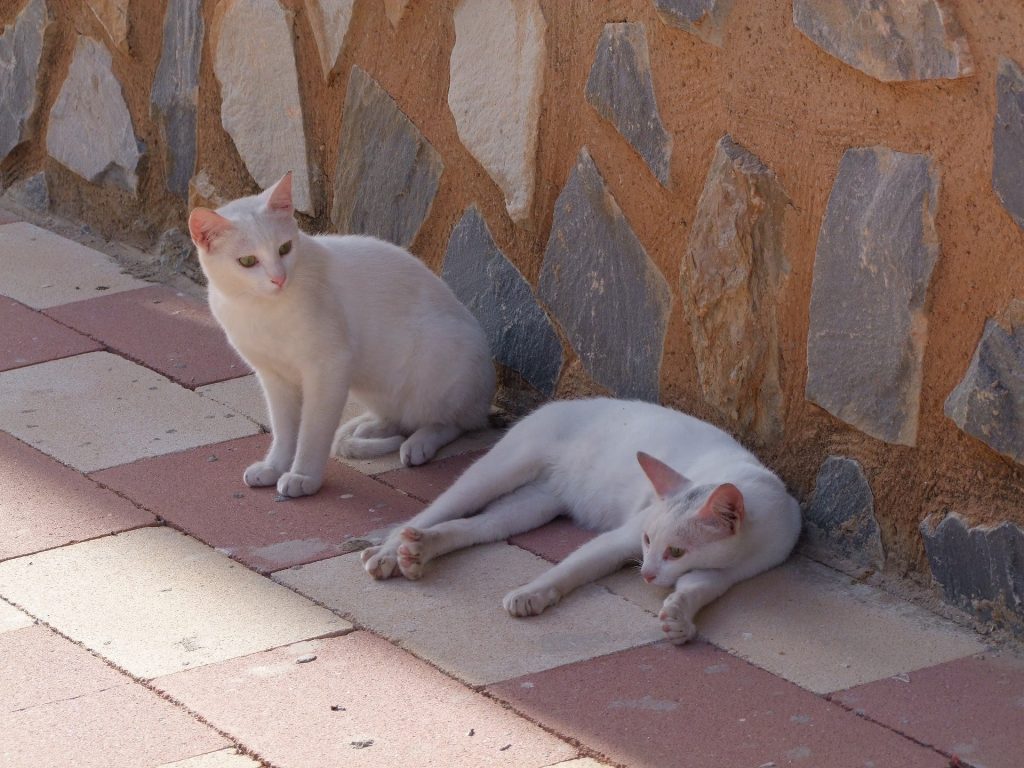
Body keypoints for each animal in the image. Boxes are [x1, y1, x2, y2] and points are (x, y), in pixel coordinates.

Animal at [192, 173, 499, 499]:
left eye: (285, 248)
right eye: (248, 261)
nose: (278, 278)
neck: (261, 311)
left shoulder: (328, 368)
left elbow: (312, 432)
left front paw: (303, 476)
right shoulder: (274, 377)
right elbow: (285, 431)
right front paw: (274, 467)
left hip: (436, 363)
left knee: (456, 421)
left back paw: (420, 444)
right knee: (401, 418)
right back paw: (372, 428)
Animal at [364, 397, 802, 643]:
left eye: (676, 552)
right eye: (647, 541)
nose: (645, 575)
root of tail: (562, 401)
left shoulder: (728, 572)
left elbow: (697, 587)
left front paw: (679, 617)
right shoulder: (623, 537)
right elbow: (572, 567)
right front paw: (532, 593)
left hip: (531, 506)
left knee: (477, 527)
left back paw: (419, 550)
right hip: (501, 469)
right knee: (436, 509)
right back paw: (389, 553)